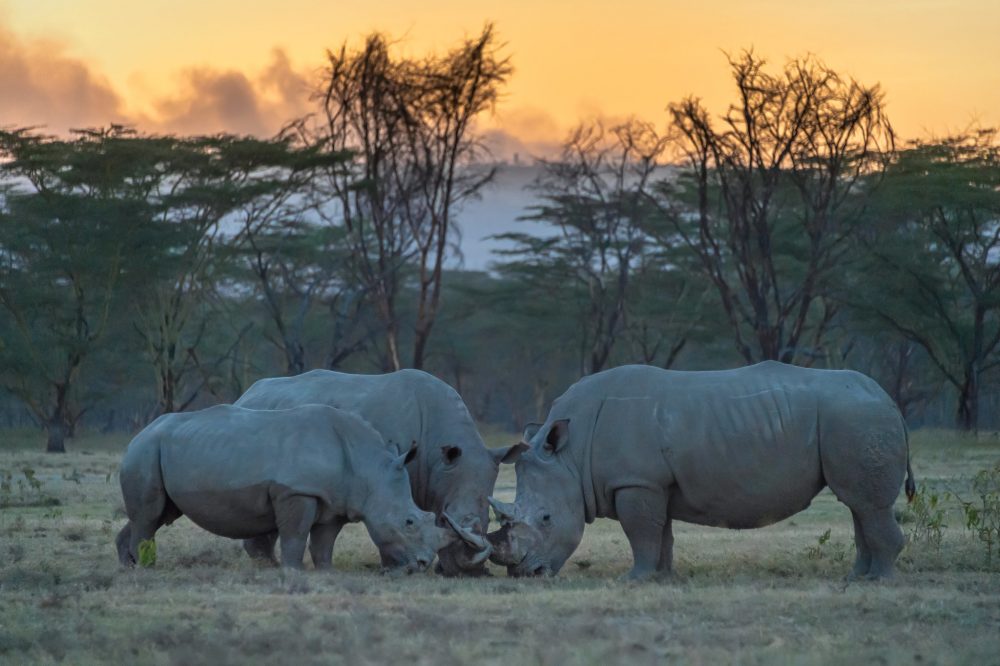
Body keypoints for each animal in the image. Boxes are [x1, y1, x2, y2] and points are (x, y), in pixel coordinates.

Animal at [113, 402, 454, 568]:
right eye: (409, 522)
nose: (423, 564)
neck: (371, 470)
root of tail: (139, 433)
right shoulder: (297, 491)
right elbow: (295, 536)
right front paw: (291, 570)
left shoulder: (333, 501)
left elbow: (324, 544)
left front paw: (326, 572)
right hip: (145, 451)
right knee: (149, 514)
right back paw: (147, 567)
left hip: (161, 449)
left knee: (159, 514)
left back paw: (128, 566)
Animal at [234, 366, 516, 572]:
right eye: (449, 517)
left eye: (488, 520)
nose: (470, 570)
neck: (438, 459)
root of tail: (246, 393)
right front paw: (394, 567)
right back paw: (267, 564)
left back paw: (267, 563)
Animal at [488, 360, 916, 580]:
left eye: (546, 518)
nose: (525, 574)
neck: (571, 456)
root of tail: (889, 400)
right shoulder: (655, 483)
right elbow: (660, 533)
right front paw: (661, 579)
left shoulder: (636, 481)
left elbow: (640, 532)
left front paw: (634, 579)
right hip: (854, 418)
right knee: (859, 504)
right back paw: (856, 578)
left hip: (856, 418)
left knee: (866, 504)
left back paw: (878, 581)